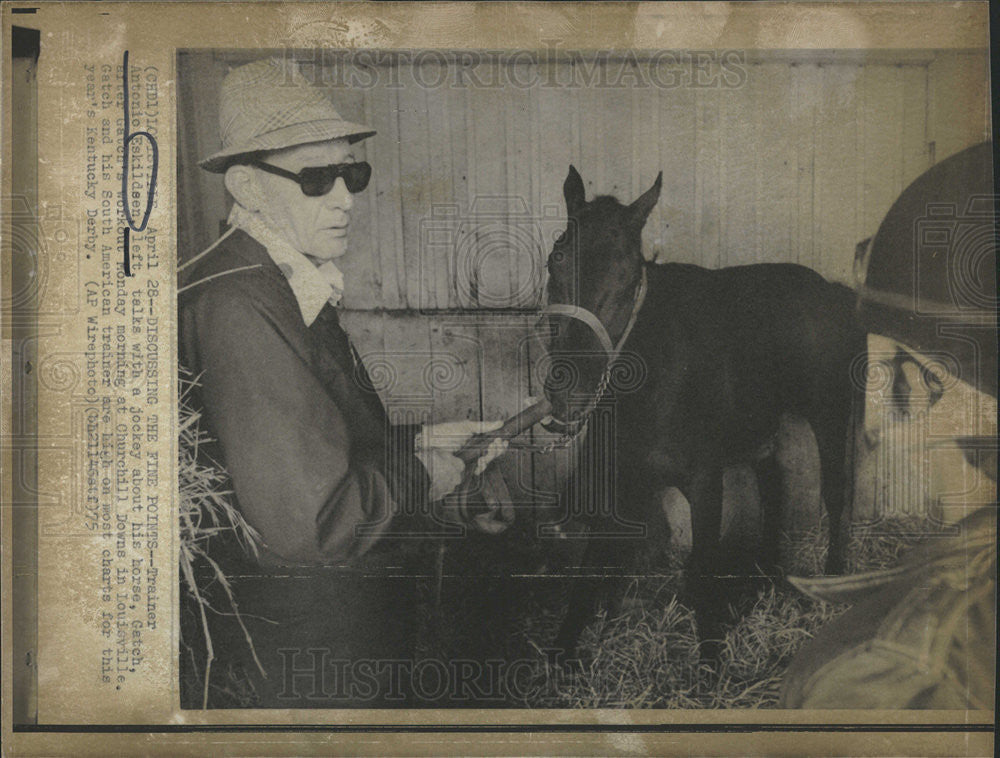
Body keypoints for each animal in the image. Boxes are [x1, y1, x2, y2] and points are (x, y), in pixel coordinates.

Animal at [544, 166, 864, 660]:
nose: (567, 392)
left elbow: (701, 565)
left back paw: (829, 580)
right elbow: (592, 569)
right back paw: (766, 573)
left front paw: (711, 652)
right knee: (774, 482)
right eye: (555, 259)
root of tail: (830, 290)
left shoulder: (705, 480)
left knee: (833, 491)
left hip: (829, 411)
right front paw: (562, 650)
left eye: (628, 274)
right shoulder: (617, 479)